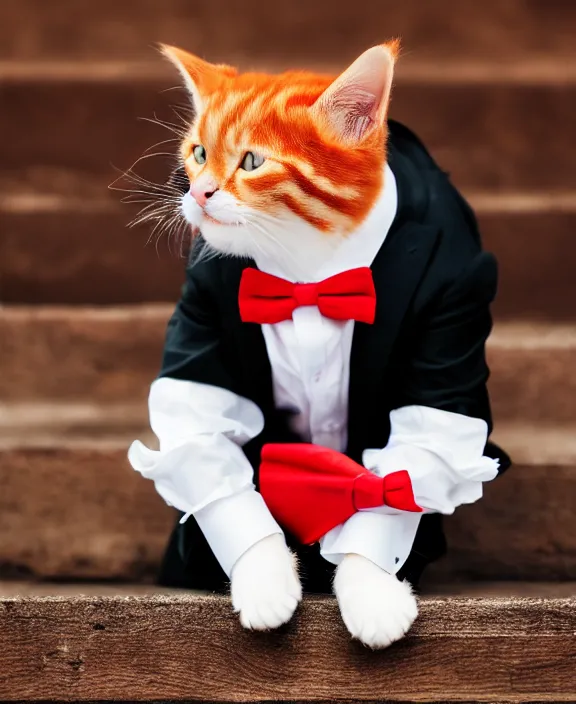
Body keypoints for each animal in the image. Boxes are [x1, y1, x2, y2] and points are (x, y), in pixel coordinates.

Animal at [158, 41, 418, 648]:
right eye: (199, 153)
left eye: (253, 162)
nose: (198, 193)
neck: (307, 273)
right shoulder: (201, 316)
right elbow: (210, 453)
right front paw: (263, 578)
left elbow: (395, 481)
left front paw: (372, 591)